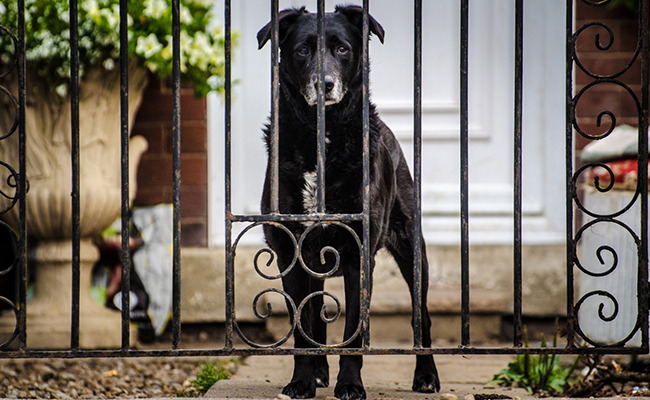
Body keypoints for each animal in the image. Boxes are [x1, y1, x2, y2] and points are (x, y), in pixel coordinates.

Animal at [256, 5, 438, 400]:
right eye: (302, 50)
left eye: (342, 49)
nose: (324, 84)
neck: (321, 138)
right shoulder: (291, 255)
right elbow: (304, 328)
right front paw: (302, 382)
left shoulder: (358, 257)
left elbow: (354, 330)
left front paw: (351, 385)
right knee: (317, 314)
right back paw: (319, 373)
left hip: (413, 252)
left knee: (422, 317)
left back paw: (427, 375)